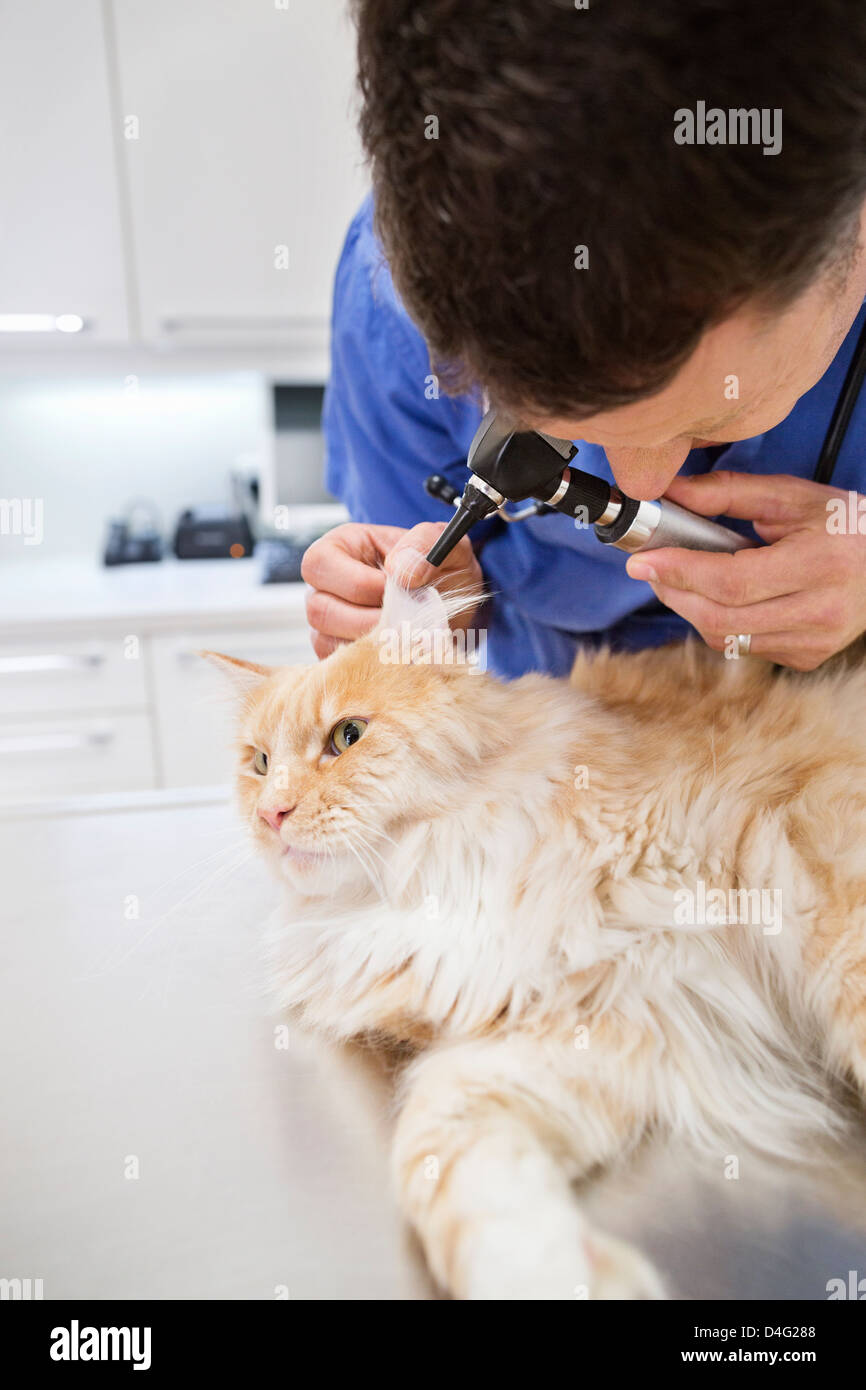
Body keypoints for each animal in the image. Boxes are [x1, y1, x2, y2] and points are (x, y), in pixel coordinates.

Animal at [207, 578, 866, 1301]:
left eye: (346, 736)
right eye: (260, 763)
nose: (272, 814)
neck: (434, 879)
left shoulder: (809, 865)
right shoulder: (589, 1028)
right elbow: (448, 1163)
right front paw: (556, 1272)